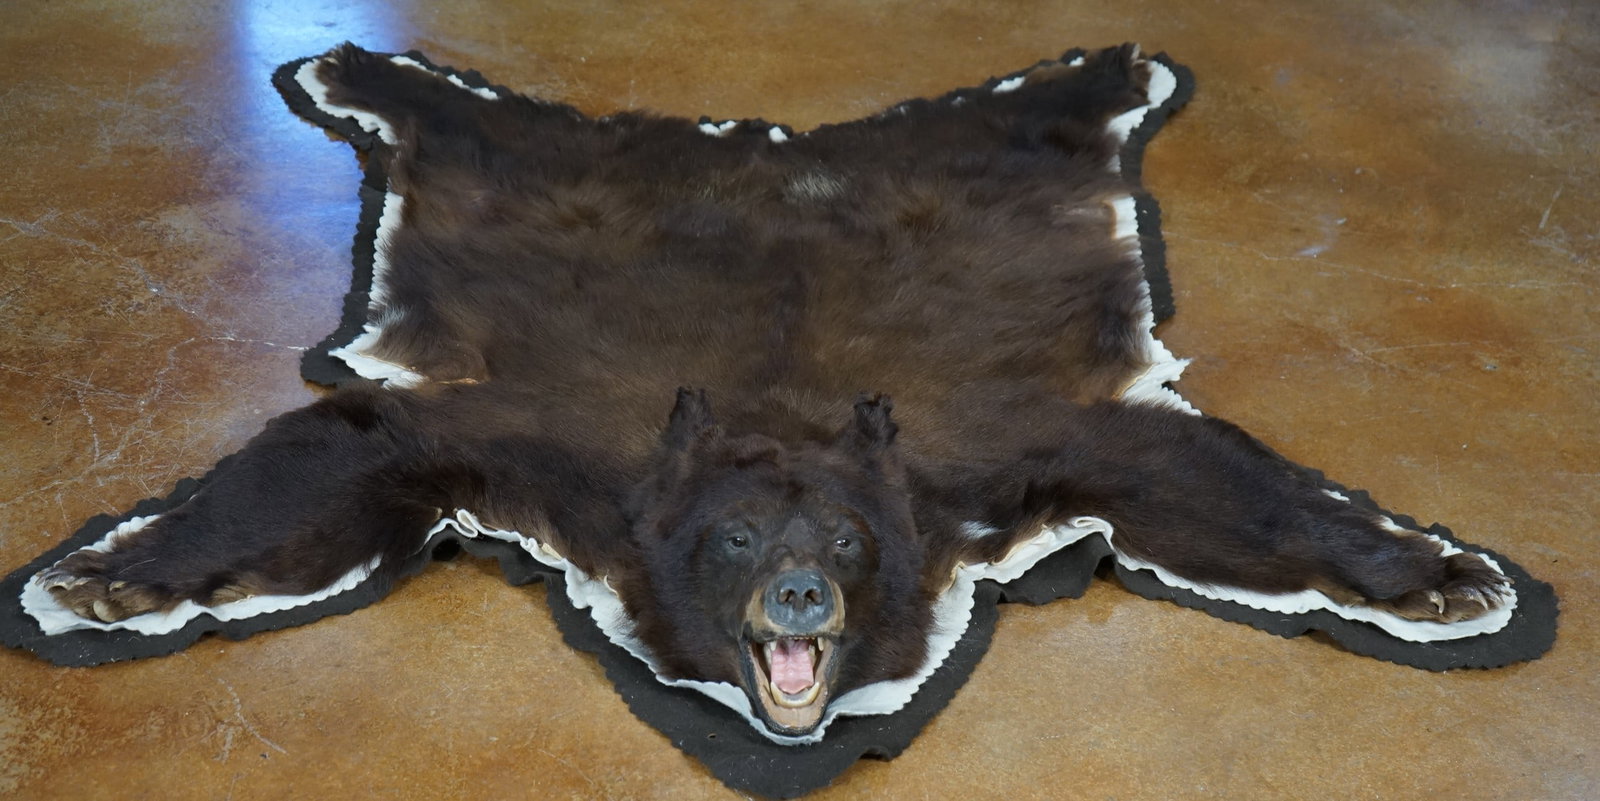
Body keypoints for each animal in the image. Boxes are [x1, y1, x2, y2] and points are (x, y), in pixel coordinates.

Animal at [28, 43, 1516, 741]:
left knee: (1016, 111)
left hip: (989, 169)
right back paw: (356, 62)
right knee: (478, 122)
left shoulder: (992, 451)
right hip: (532, 179)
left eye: (846, 544)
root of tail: (769, 149)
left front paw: (1437, 574)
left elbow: (1181, 472)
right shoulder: (560, 453)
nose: (798, 596)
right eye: (740, 536)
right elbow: (362, 445)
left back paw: (1113, 64)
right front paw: (111, 575)